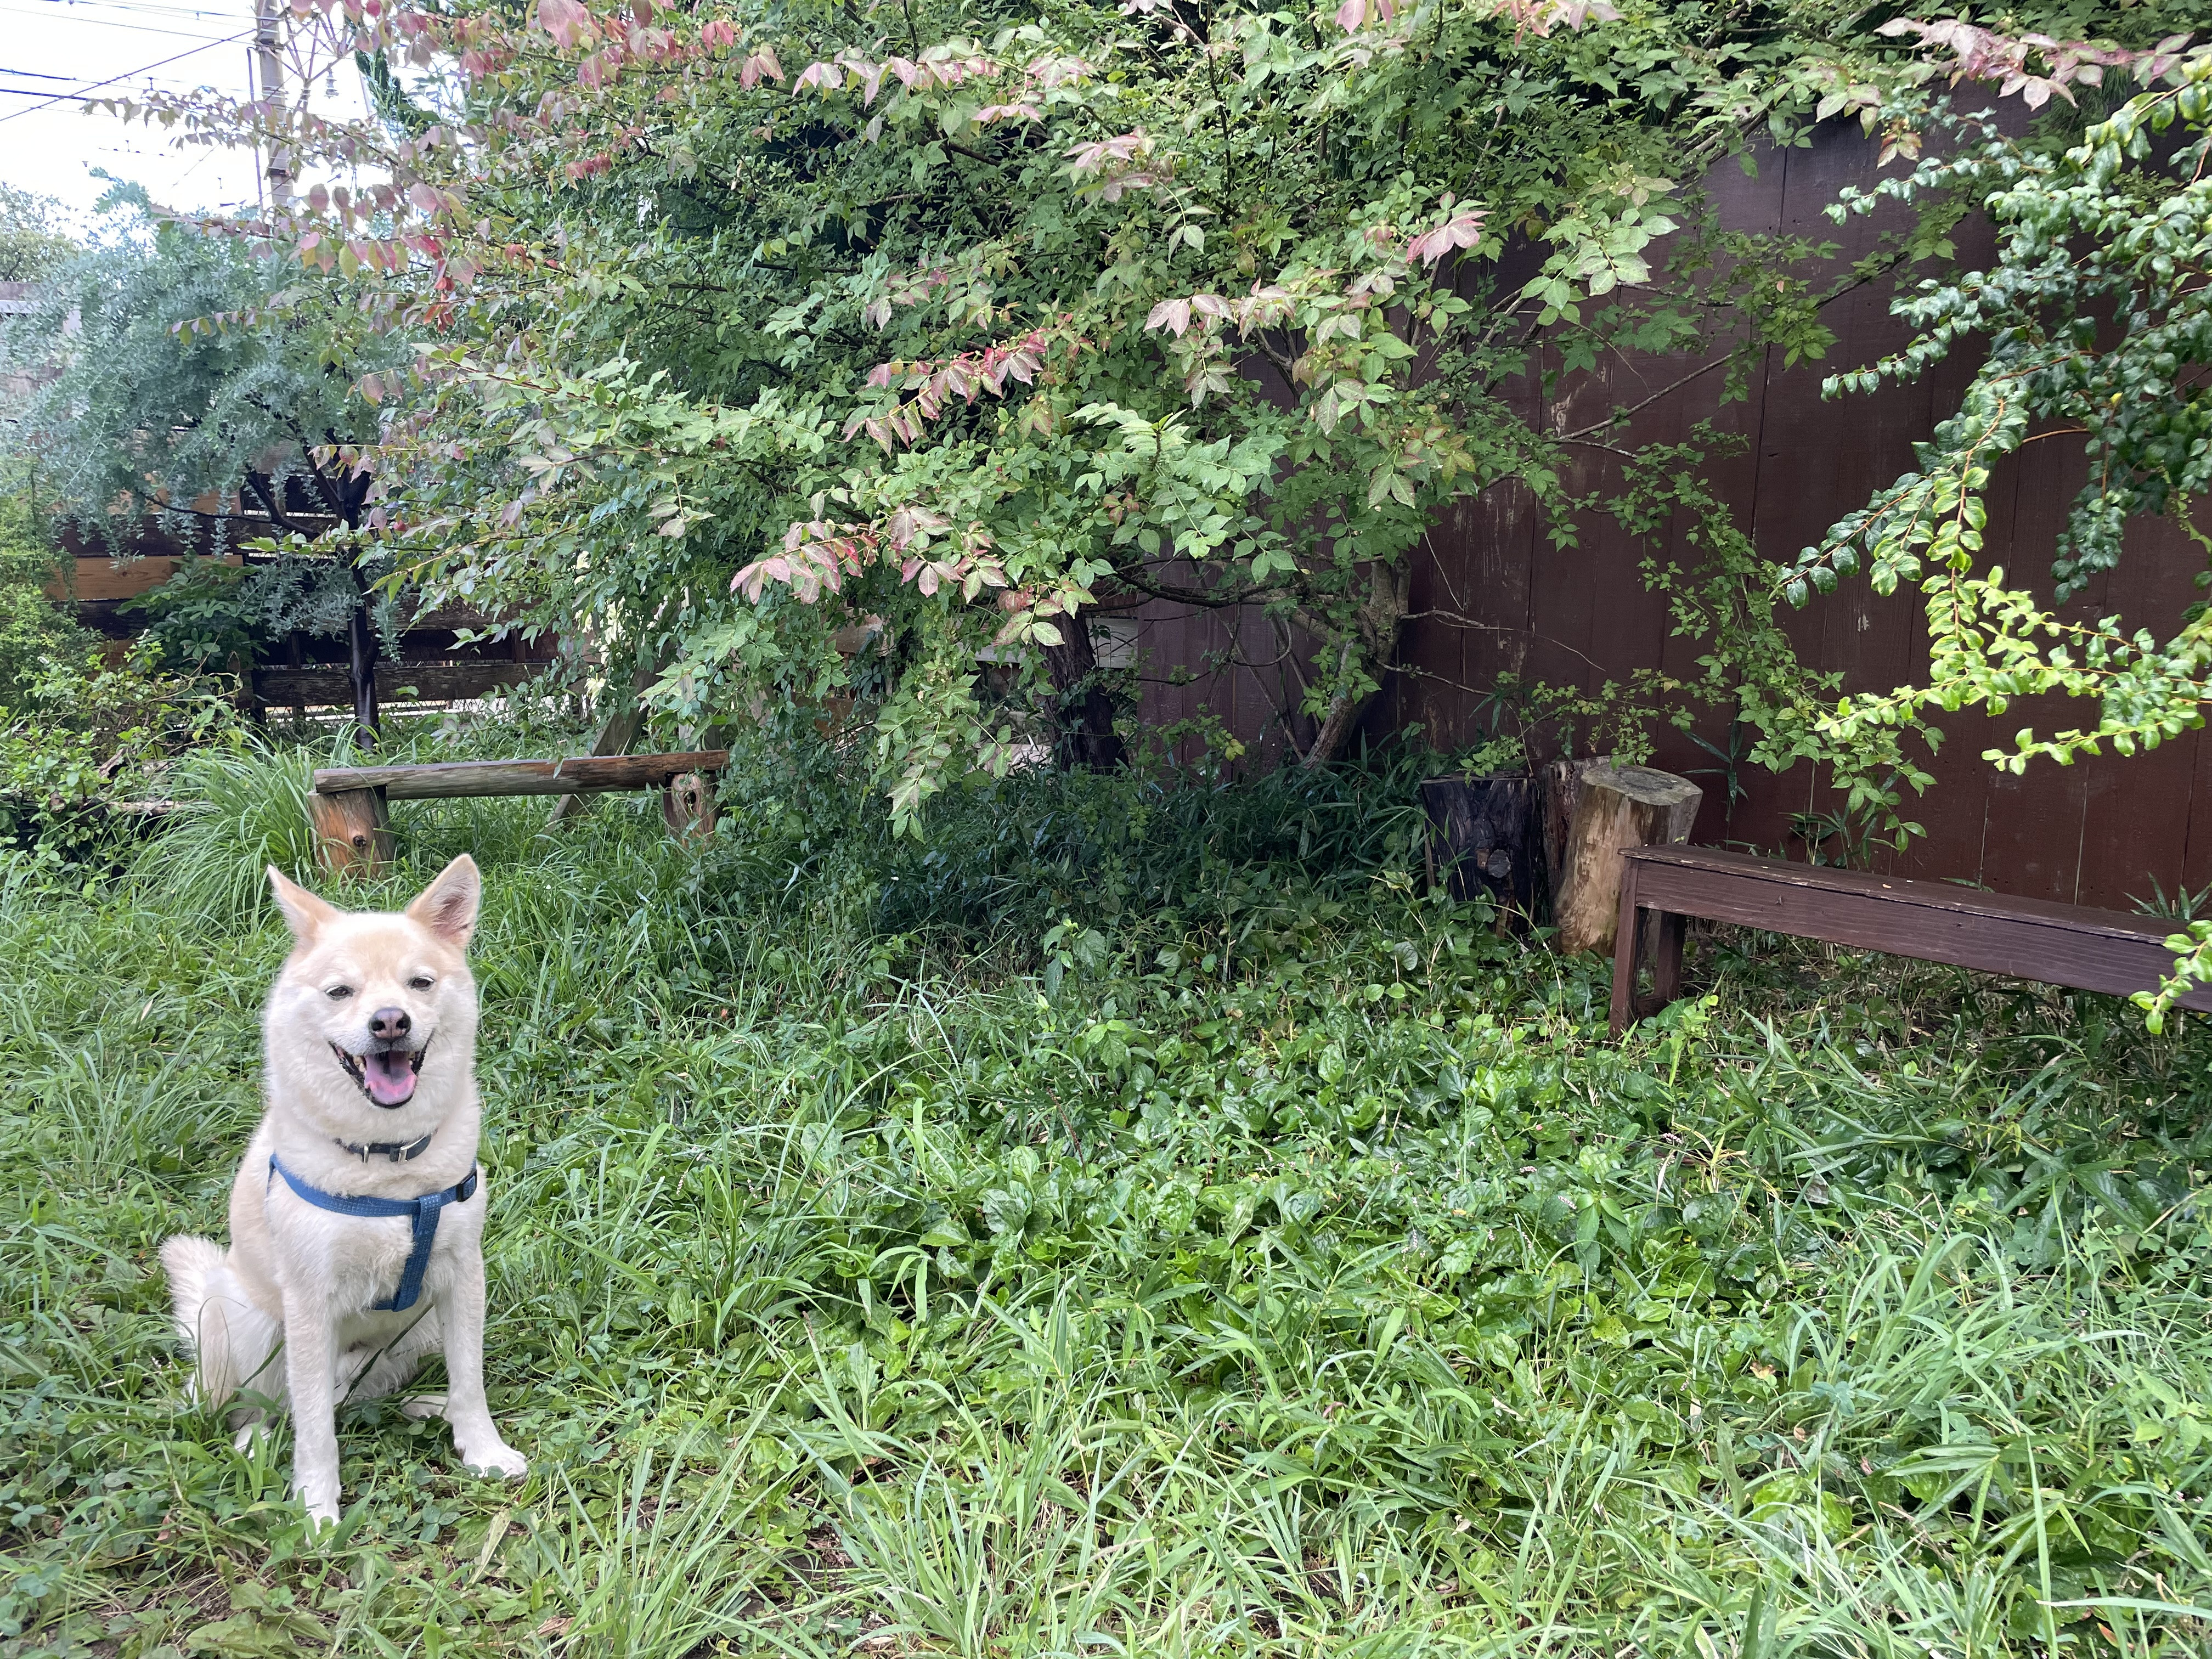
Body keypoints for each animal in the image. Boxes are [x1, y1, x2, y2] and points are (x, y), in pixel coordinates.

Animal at [161, 858, 524, 1531]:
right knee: (266, 1407)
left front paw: (482, 1449)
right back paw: (256, 1442)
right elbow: (315, 1432)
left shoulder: (463, 1277)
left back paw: (425, 1407)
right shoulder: (310, 1304)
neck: (387, 1163)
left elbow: (471, 1380)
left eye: (419, 983)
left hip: (419, 1329)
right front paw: (316, 1507)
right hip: (247, 1318)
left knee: (365, 1395)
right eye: (340, 992)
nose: (390, 1022)